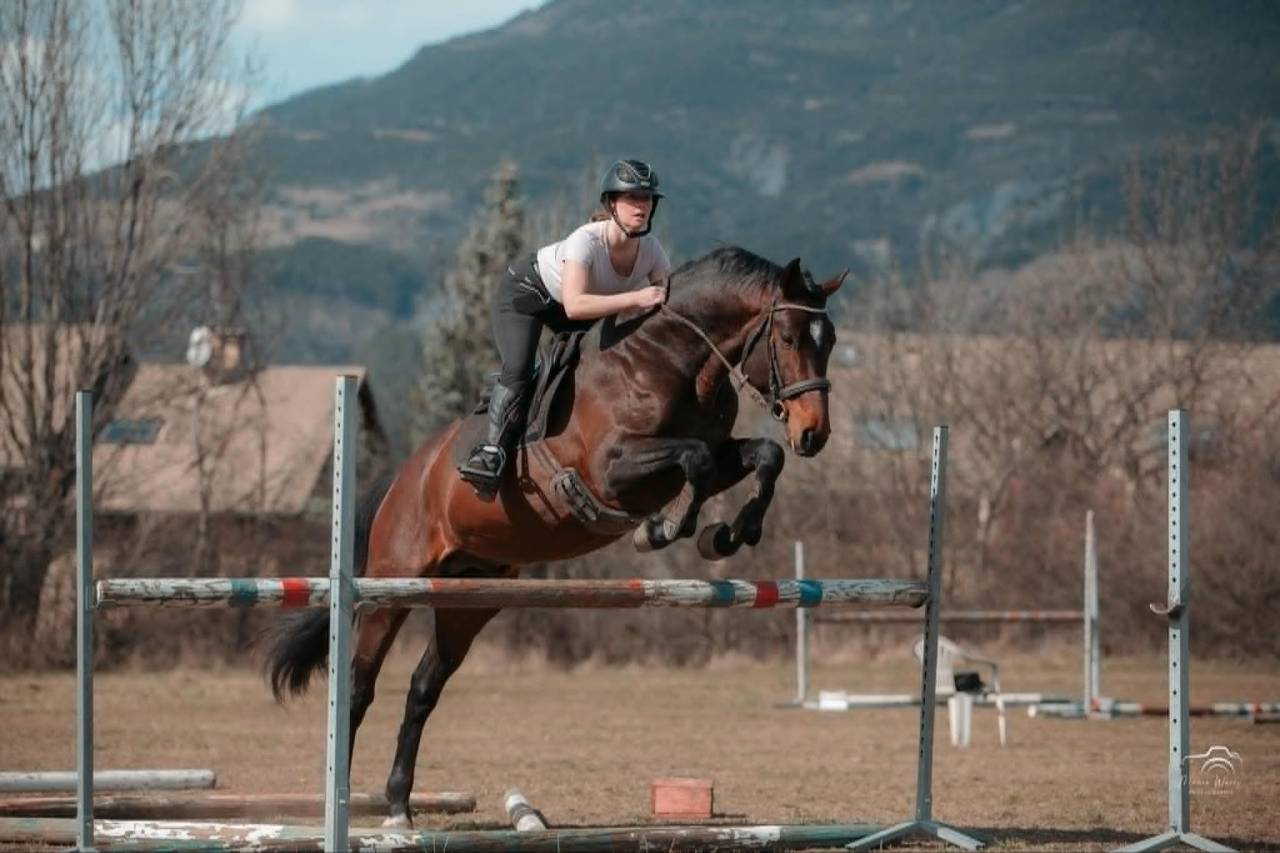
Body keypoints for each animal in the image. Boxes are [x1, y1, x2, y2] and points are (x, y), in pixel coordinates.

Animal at [263, 246, 845, 827]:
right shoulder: (613, 469)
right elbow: (695, 460)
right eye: (788, 337)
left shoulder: (711, 455)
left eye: (831, 340)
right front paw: (664, 529)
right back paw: (340, 806)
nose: (813, 434)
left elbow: (763, 456)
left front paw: (727, 534)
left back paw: (399, 804)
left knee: (423, 688)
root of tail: (403, 478)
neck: (675, 362)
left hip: (467, 600)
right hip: (392, 585)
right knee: (358, 688)